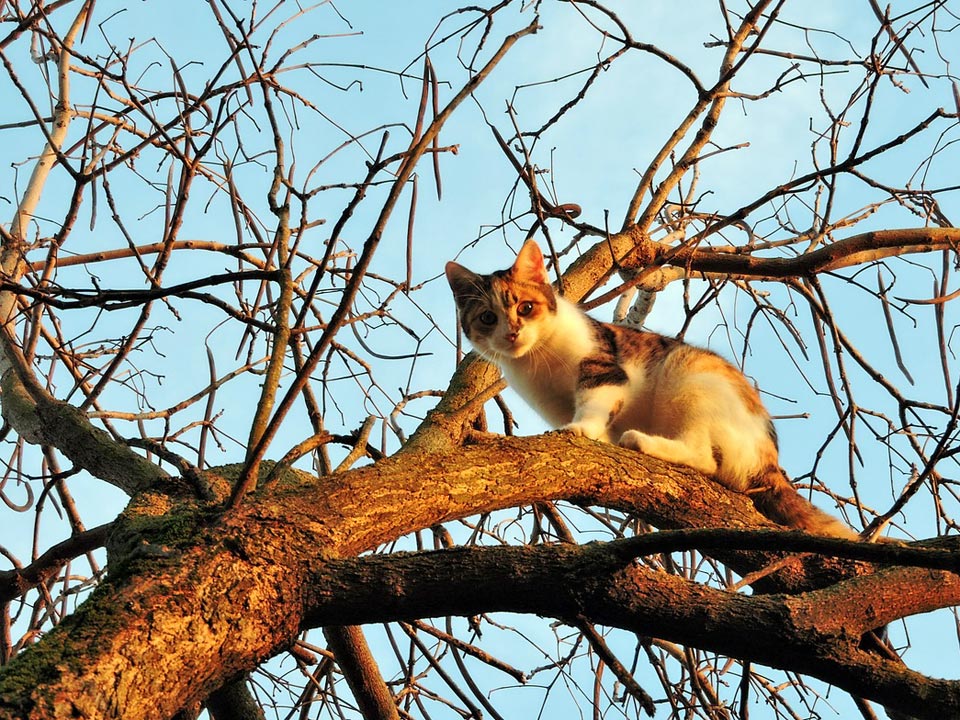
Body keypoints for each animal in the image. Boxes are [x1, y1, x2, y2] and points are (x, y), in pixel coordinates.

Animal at [448, 239, 864, 536]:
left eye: (526, 308)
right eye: (488, 319)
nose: (512, 333)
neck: (537, 360)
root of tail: (770, 459)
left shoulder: (604, 369)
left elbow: (594, 402)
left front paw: (582, 429)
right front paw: (597, 434)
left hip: (688, 378)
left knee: (704, 458)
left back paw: (642, 441)